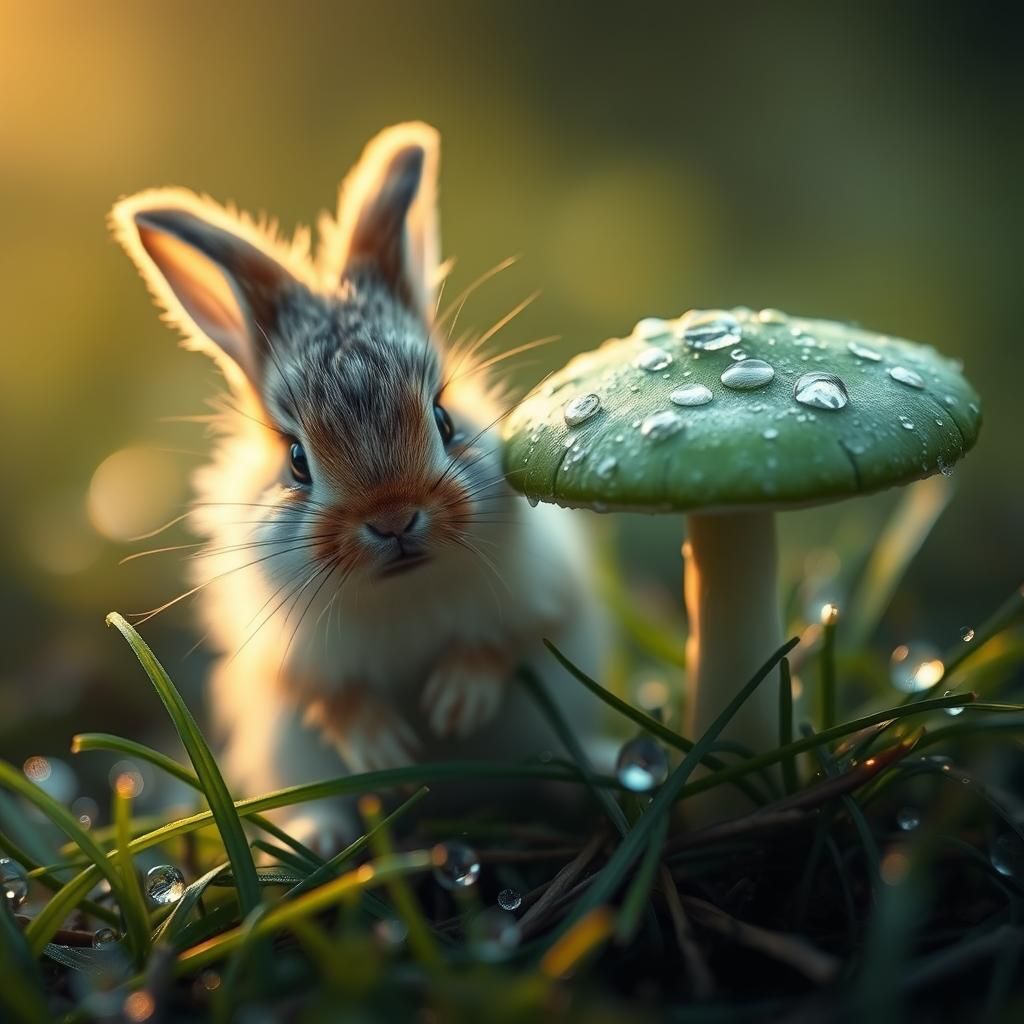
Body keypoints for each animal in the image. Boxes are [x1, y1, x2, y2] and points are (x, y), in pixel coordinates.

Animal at [110, 122, 610, 851]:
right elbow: (331, 697)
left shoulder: (543, 593)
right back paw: (319, 835)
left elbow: (499, 643)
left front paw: (455, 707)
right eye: (296, 461)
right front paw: (386, 748)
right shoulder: (290, 661)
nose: (394, 518)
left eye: (444, 419)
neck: (400, 589)